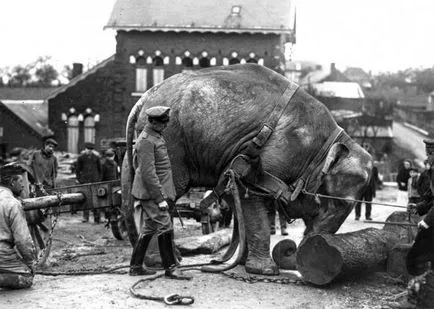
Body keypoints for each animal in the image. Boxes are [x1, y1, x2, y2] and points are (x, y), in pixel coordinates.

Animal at [120, 63, 372, 276]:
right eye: (340, 204)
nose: (294, 249)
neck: (329, 143)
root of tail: (144, 99)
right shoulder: (275, 152)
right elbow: (250, 194)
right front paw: (266, 271)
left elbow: (247, 200)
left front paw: (241, 264)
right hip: (171, 141)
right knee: (166, 195)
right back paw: (162, 263)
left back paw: (173, 259)